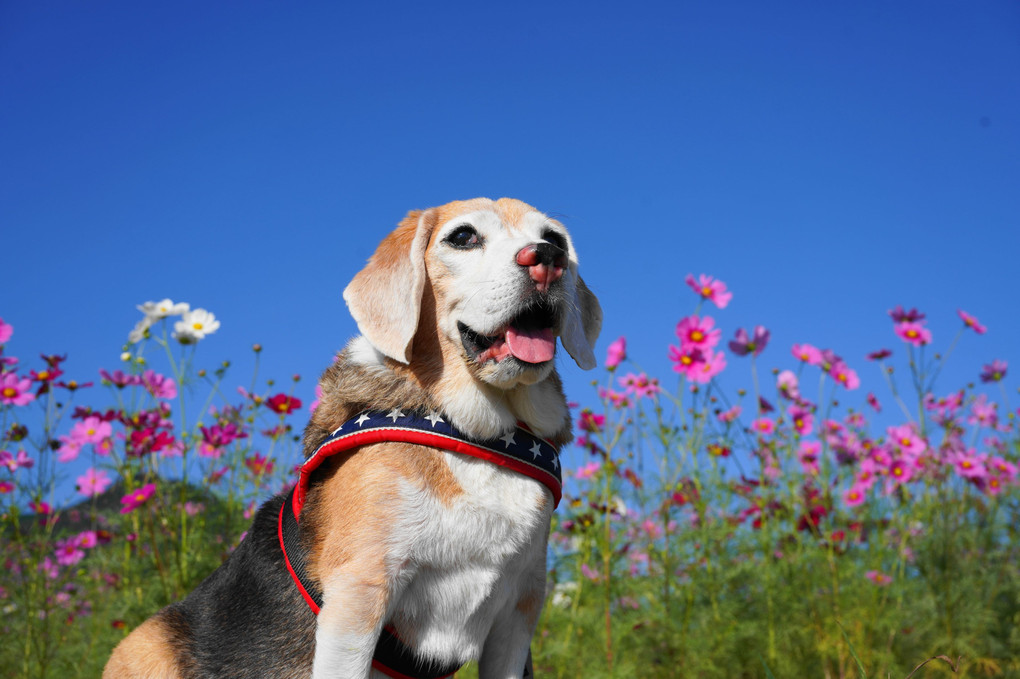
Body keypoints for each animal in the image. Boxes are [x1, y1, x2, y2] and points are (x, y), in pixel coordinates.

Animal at [103, 196, 599, 676]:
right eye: (463, 237)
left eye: (555, 238)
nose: (547, 258)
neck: (477, 435)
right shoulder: (360, 593)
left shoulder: (518, 617)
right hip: (143, 645)